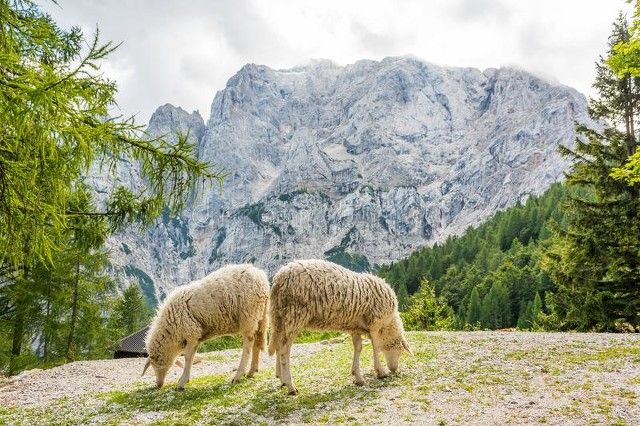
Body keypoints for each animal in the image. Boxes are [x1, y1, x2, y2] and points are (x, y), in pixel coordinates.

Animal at [141, 264, 268, 392]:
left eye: (154, 365)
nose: (158, 384)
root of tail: (261, 276)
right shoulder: (196, 336)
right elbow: (191, 356)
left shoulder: (191, 333)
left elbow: (188, 357)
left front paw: (182, 382)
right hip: (261, 316)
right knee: (257, 340)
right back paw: (252, 371)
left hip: (248, 315)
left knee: (249, 343)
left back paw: (238, 375)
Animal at [268, 260, 410, 396]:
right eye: (400, 350)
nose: (394, 369)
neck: (388, 325)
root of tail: (278, 278)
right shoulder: (375, 324)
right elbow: (376, 347)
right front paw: (380, 372)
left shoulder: (356, 328)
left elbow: (358, 348)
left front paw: (358, 377)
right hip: (294, 314)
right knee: (284, 350)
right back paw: (291, 386)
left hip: (280, 318)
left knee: (278, 346)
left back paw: (282, 379)